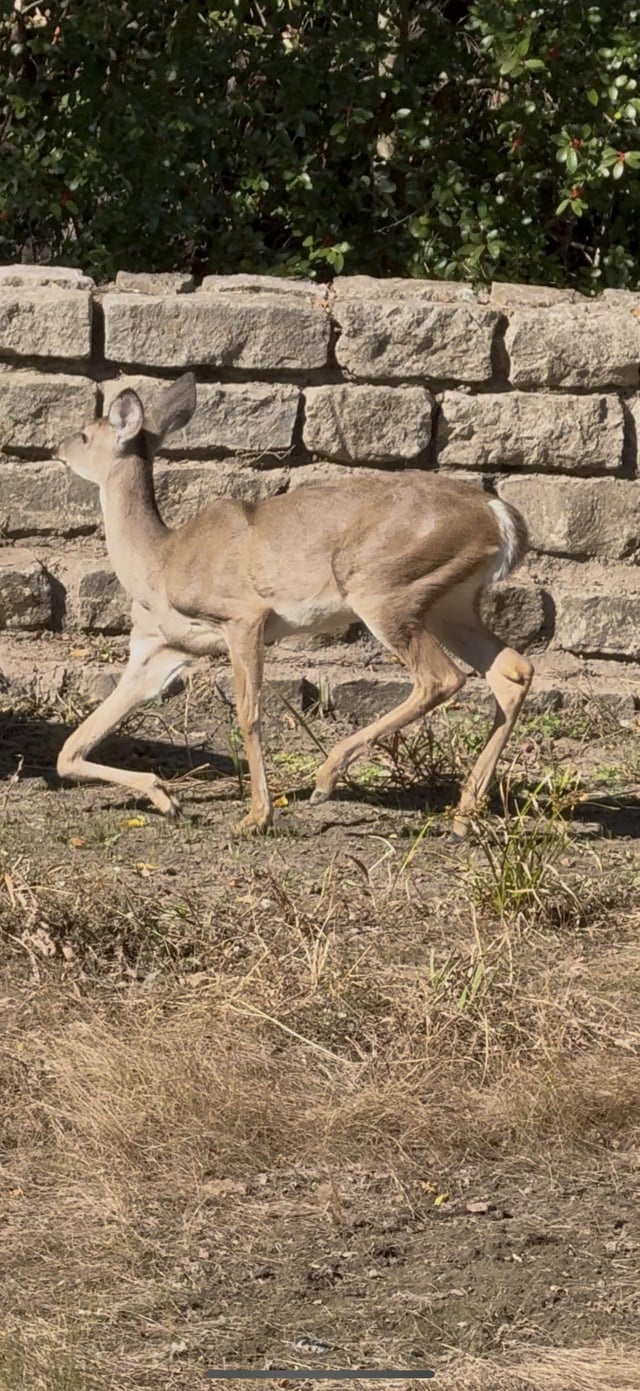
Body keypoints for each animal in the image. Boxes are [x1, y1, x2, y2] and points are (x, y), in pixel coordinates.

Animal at [54, 375, 531, 834]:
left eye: (85, 435)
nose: (58, 448)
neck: (159, 562)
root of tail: (498, 514)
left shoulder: (243, 616)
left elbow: (249, 712)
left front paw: (256, 817)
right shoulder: (158, 651)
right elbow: (70, 750)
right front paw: (166, 798)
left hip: (383, 589)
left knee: (442, 677)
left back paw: (326, 778)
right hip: (451, 603)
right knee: (511, 671)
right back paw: (463, 817)